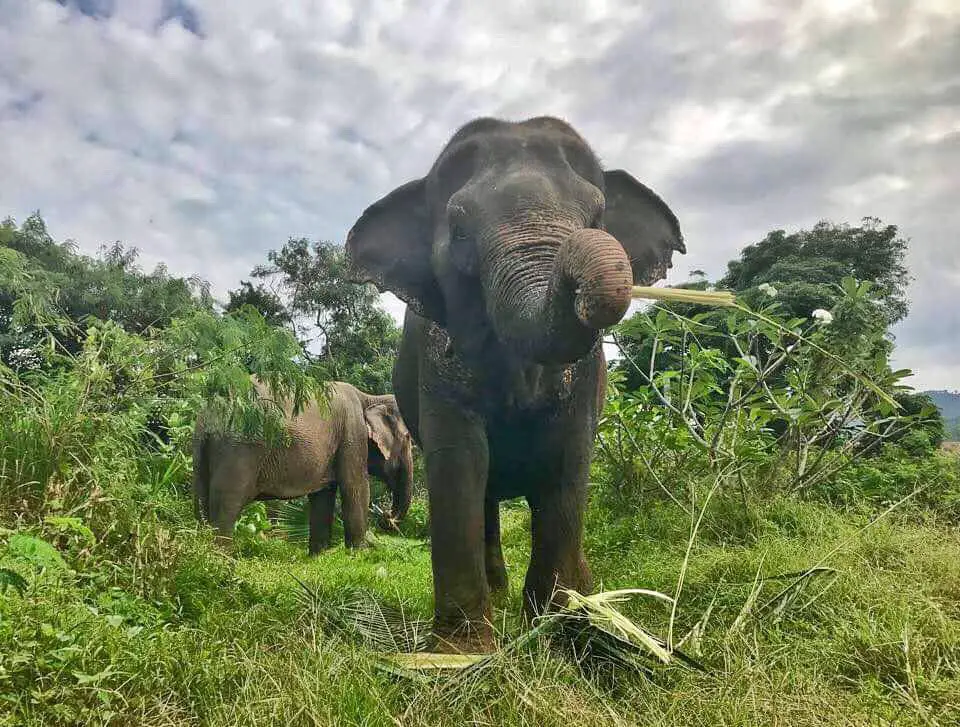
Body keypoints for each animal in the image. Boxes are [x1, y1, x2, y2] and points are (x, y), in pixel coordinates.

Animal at [191, 382, 412, 552]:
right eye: (409, 437)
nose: (386, 517)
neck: (369, 397)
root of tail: (208, 414)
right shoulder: (352, 432)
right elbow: (355, 487)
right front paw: (360, 554)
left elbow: (323, 496)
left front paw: (319, 555)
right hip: (241, 447)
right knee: (227, 504)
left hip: (202, 453)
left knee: (201, 504)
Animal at [344, 115, 684, 656]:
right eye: (459, 229)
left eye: (598, 214)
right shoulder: (437, 362)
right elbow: (460, 460)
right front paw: (463, 653)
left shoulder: (587, 377)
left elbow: (568, 462)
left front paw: (556, 636)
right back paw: (501, 593)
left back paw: (586, 596)